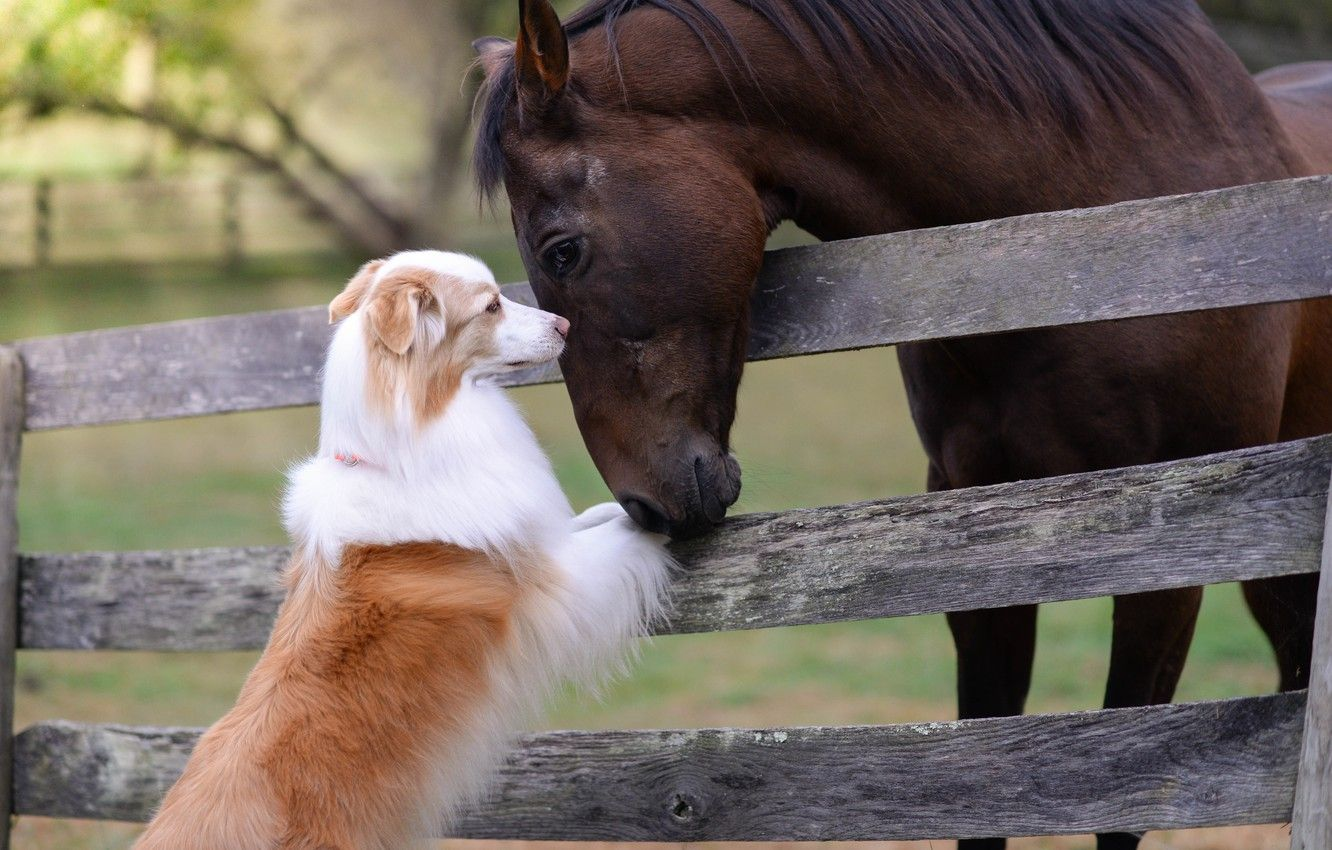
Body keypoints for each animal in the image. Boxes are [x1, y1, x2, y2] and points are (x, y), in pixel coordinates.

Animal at [133, 251, 671, 850]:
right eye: (491, 306)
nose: (564, 325)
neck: (406, 448)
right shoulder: (554, 582)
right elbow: (619, 536)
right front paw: (665, 519)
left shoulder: (542, 540)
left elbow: (592, 517)